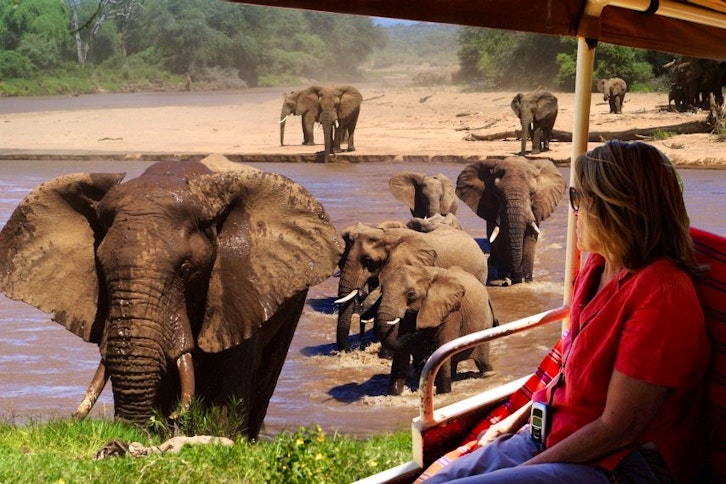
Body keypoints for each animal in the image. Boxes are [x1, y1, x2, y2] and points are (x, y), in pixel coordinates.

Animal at [375, 265, 496, 396]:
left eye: (411, 294)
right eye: (381, 290)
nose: (417, 331)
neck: (425, 272)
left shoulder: (450, 312)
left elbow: (442, 347)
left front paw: (444, 393)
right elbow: (401, 353)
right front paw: (394, 394)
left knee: (483, 362)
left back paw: (489, 374)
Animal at [456, 156, 566, 285]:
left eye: (532, 193)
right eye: (497, 193)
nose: (513, 280)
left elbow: (530, 238)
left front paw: (527, 281)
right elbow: (502, 238)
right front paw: (504, 277)